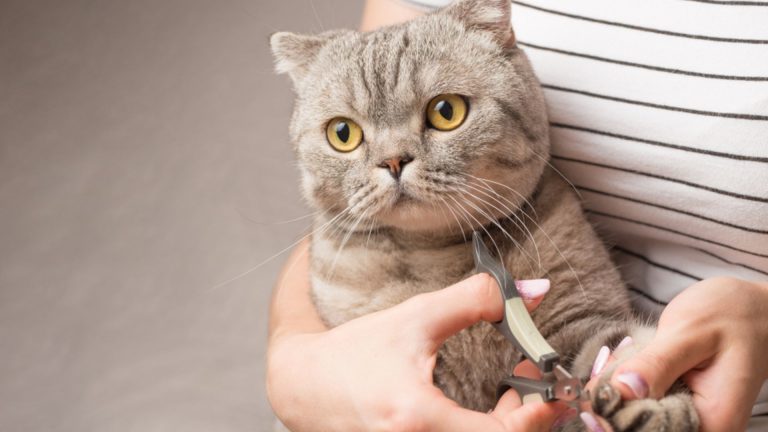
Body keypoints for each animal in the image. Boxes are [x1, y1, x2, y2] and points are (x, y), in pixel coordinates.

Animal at [270, 0, 704, 428]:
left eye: (446, 111)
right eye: (342, 133)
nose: (393, 160)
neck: (440, 261)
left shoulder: (583, 320)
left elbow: (618, 350)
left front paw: (646, 401)